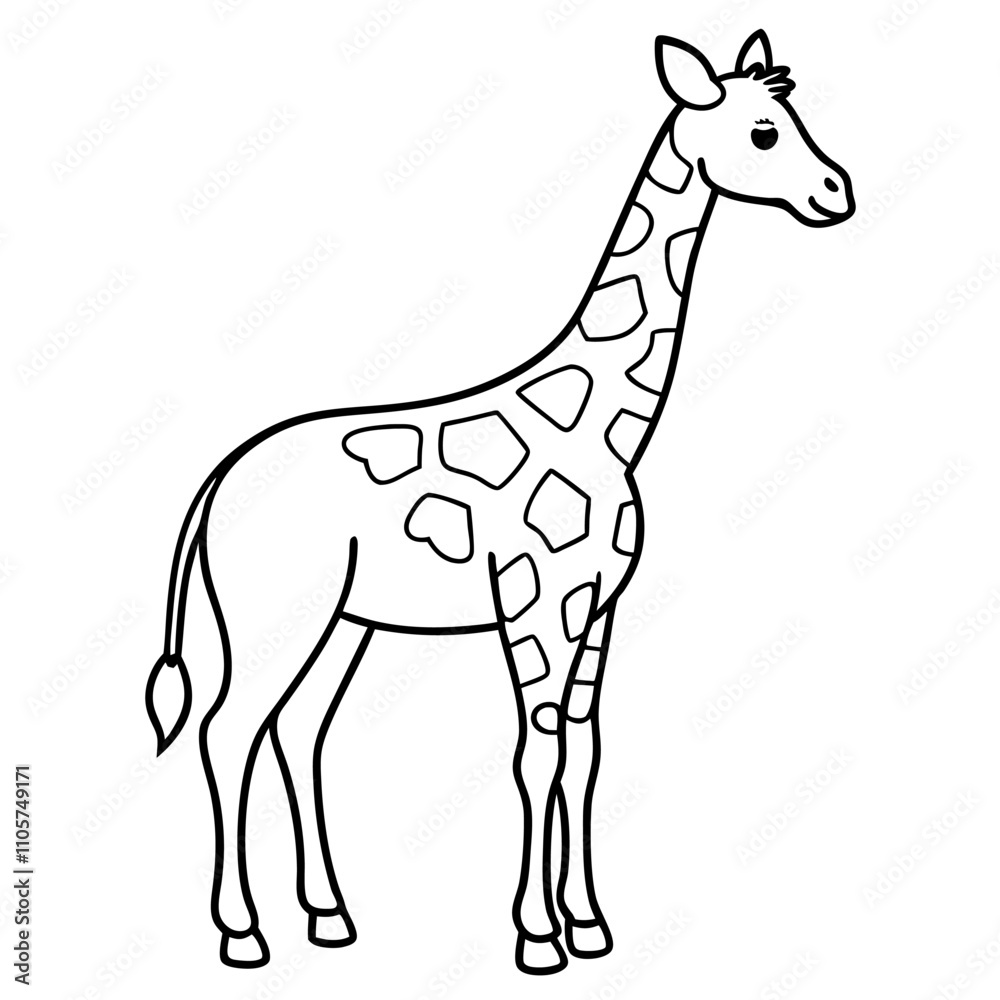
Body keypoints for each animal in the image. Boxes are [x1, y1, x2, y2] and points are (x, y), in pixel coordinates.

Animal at [145, 30, 854, 975]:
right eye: (765, 131)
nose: (837, 193)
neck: (604, 425)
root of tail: (220, 480)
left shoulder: (597, 606)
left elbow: (584, 753)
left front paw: (589, 926)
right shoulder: (532, 600)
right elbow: (534, 755)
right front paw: (537, 937)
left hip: (346, 621)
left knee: (299, 733)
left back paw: (330, 918)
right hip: (273, 615)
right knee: (228, 734)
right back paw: (243, 935)